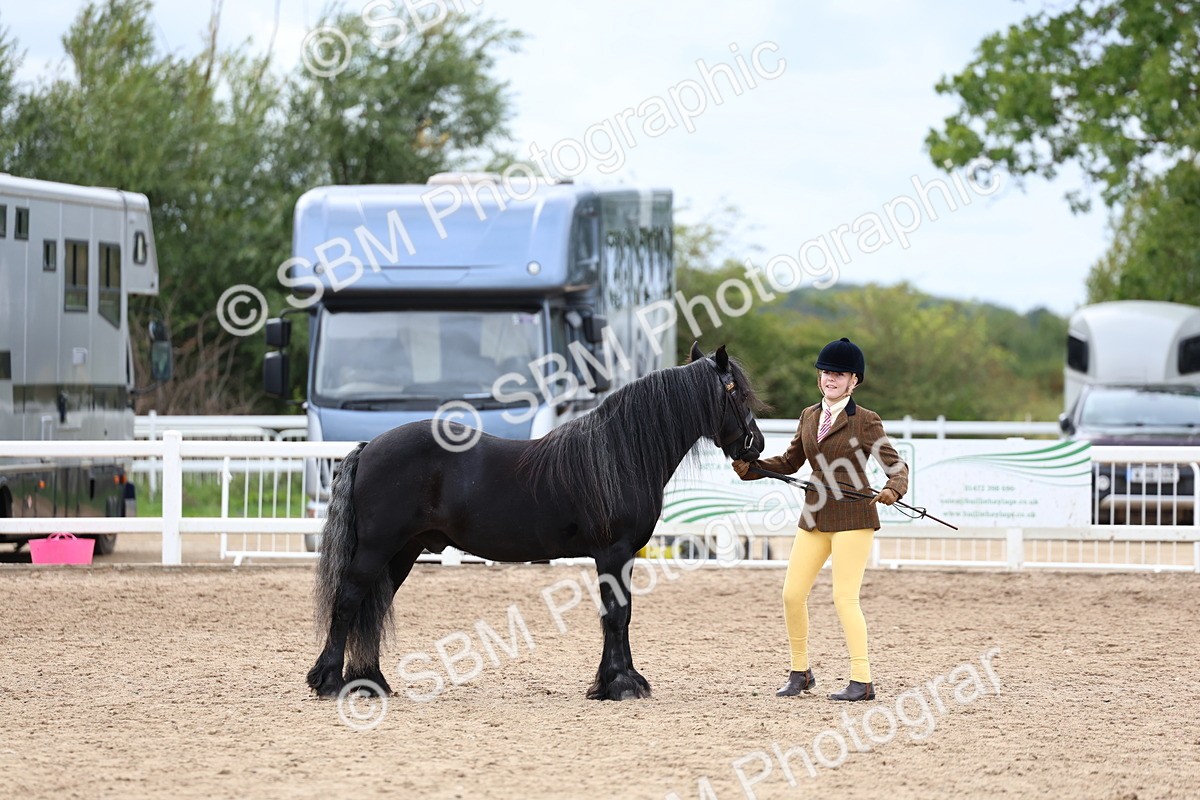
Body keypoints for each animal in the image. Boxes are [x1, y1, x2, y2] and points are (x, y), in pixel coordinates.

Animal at [306, 342, 766, 701]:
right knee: (348, 601)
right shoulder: (613, 552)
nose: (757, 444)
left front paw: (614, 682)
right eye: (738, 393)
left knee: (374, 605)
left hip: (403, 551)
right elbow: (616, 615)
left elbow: (620, 613)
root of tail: (369, 447)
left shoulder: (622, 556)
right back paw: (328, 682)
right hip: (377, 548)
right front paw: (620, 685)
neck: (620, 453)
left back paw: (370, 682)